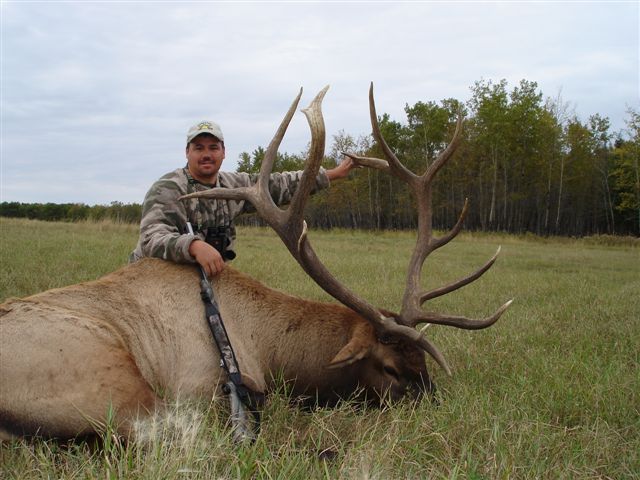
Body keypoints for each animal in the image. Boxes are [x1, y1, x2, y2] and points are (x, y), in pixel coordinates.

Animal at [0, 85, 511, 442]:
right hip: (107, 373)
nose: (439, 408)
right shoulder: (198, 382)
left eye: (423, 363)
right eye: (389, 368)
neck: (269, 346)